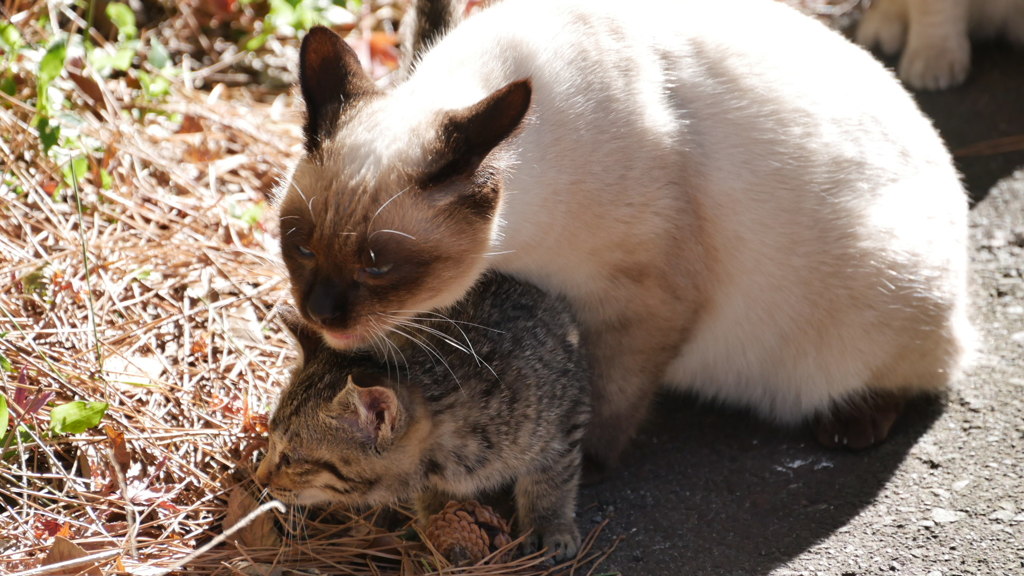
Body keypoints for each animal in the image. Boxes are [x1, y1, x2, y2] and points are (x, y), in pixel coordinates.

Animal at [256, 270, 593, 557]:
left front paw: (550, 525)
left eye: (292, 459)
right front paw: (438, 519)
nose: (260, 479)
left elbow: (553, 478)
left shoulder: (566, 419)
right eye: (271, 440)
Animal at [276, 0, 970, 469]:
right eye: (301, 247)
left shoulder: (647, 301)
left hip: (883, 298)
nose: (322, 312)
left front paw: (578, 464)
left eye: (377, 265)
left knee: (934, 372)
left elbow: (605, 402)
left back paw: (853, 422)